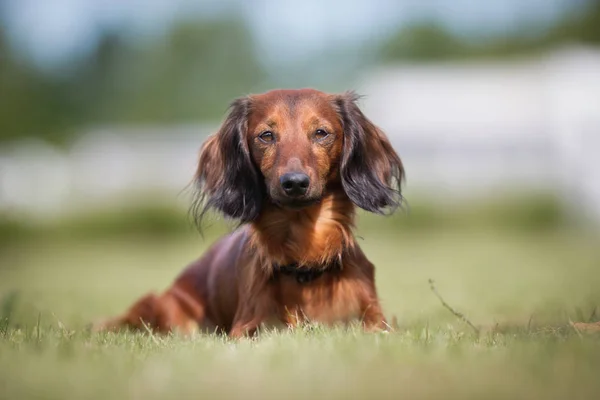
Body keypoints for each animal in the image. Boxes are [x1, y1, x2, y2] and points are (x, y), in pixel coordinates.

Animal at [94, 89, 404, 336]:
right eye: (266, 135)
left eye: (321, 133)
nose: (294, 183)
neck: (305, 260)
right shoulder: (247, 328)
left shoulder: (376, 321)